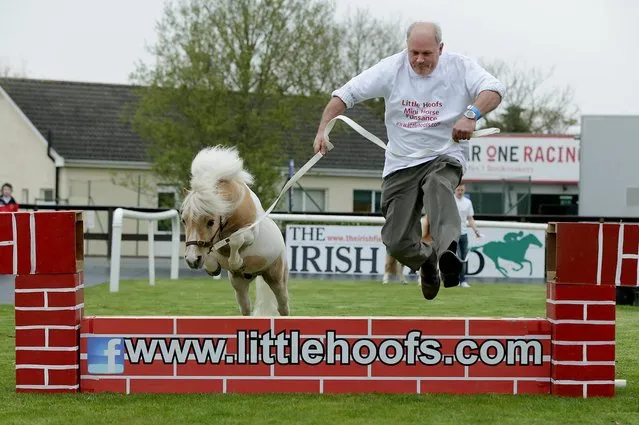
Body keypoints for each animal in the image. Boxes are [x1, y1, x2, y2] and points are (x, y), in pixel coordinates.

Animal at [180, 146, 290, 314]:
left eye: (211, 222)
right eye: (184, 220)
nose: (192, 260)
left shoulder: (249, 234)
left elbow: (235, 239)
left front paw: (237, 263)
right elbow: (213, 259)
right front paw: (213, 268)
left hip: (277, 279)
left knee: (283, 306)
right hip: (239, 284)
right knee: (246, 308)